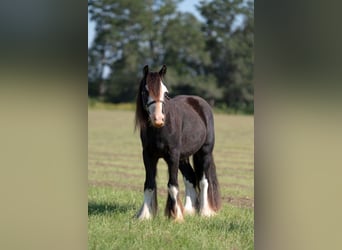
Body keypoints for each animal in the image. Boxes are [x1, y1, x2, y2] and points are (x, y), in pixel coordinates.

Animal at [135, 64, 220, 221]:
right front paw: (145, 216)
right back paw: (189, 210)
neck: (160, 130)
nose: (158, 119)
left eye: (166, 92)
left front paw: (176, 217)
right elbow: (149, 184)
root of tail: (199, 102)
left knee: (204, 180)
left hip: (204, 152)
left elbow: (172, 185)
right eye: (145, 91)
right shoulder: (148, 156)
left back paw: (205, 212)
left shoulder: (173, 156)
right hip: (183, 158)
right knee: (191, 177)